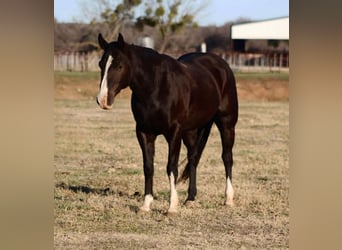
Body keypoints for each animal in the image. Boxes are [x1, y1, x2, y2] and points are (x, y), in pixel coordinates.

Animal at [96, 33, 238, 215]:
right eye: (101, 64)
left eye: (119, 65)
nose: (103, 100)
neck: (156, 87)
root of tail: (220, 64)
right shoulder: (144, 132)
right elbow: (148, 167)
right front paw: (146, 205)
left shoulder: (174, 133)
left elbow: (171, 167)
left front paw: (172, 207)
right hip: (191, 131)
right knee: (193, 158)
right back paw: (190, 198)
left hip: (227, 124)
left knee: (227, 157)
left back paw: (228, 199)